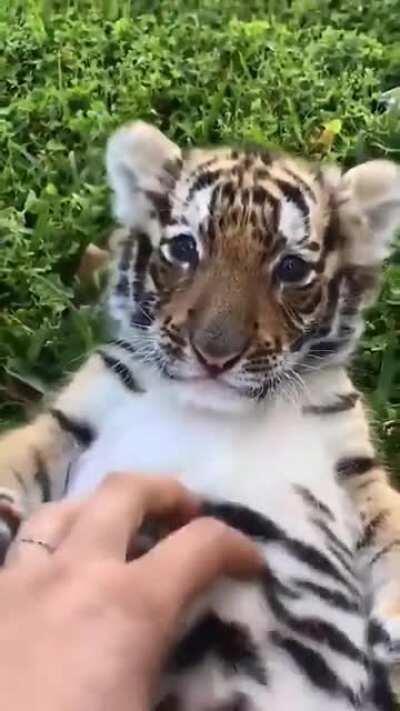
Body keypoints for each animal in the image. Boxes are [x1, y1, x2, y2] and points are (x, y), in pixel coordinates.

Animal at [0, 120, 400, 710]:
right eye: (185, 248)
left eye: (291, 268)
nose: (215, 354)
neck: (220, 415)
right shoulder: (72, 422)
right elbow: (18, 455)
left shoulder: (355, 468)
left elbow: (392, 523)